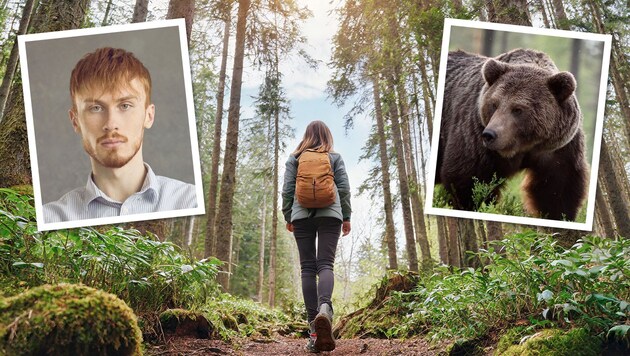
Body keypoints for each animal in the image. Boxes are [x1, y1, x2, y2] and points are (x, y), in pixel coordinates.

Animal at [436, 47, 592, 220]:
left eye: (518, 109)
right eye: (494, 104)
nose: (489, 134)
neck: (525, 146)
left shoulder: (558, 148)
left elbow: (557, 190)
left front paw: (560, 215)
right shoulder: (475, 137)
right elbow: (468, 180)